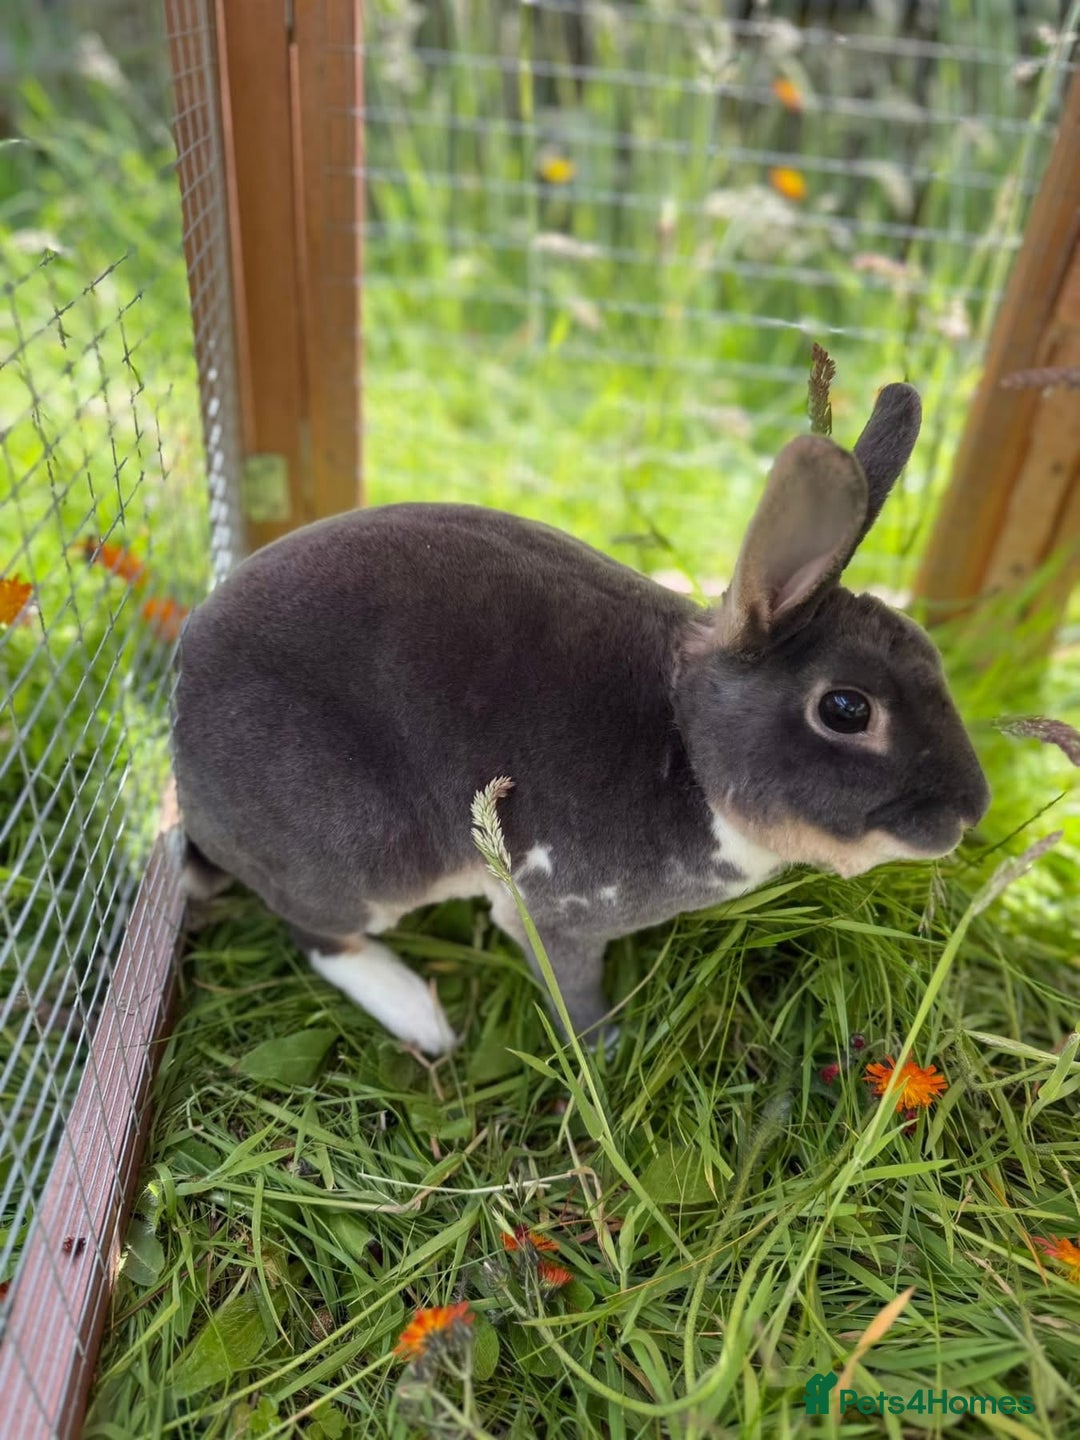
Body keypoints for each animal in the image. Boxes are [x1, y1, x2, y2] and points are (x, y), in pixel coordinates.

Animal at [172, 382, 990, 1055]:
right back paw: (424, 1019)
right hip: (351, 846)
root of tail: (183, 756)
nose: (970, 811)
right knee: (320, 935)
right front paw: (606, 1047)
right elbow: (573, 990)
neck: (687, 748)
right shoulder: (555, 917)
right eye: (847, 709)